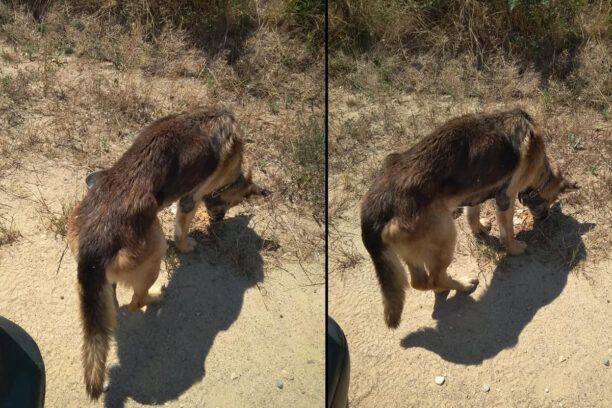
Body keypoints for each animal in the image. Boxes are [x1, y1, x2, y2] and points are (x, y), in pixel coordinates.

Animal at [65, 106, 272, 398]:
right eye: (233, 203)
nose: (219, 221)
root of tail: (97, 238)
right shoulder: (191, 200)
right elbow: (182, 230)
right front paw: (186, 247)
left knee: (114, 299)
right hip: (156, 253)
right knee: (136, 302)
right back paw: (154, 297)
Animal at [360, 108, 580, 328]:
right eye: (550, 200)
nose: (544, 218)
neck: (540, 167)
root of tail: (376, 203)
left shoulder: (475, 192)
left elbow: (472, 212)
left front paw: (479, 228)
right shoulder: (506, 199)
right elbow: (507, 232)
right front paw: (514, 248)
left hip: (417, 250)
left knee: (420, 282)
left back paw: (445, 287)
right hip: (446, 236)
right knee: (434, 277)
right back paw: (463, 285)